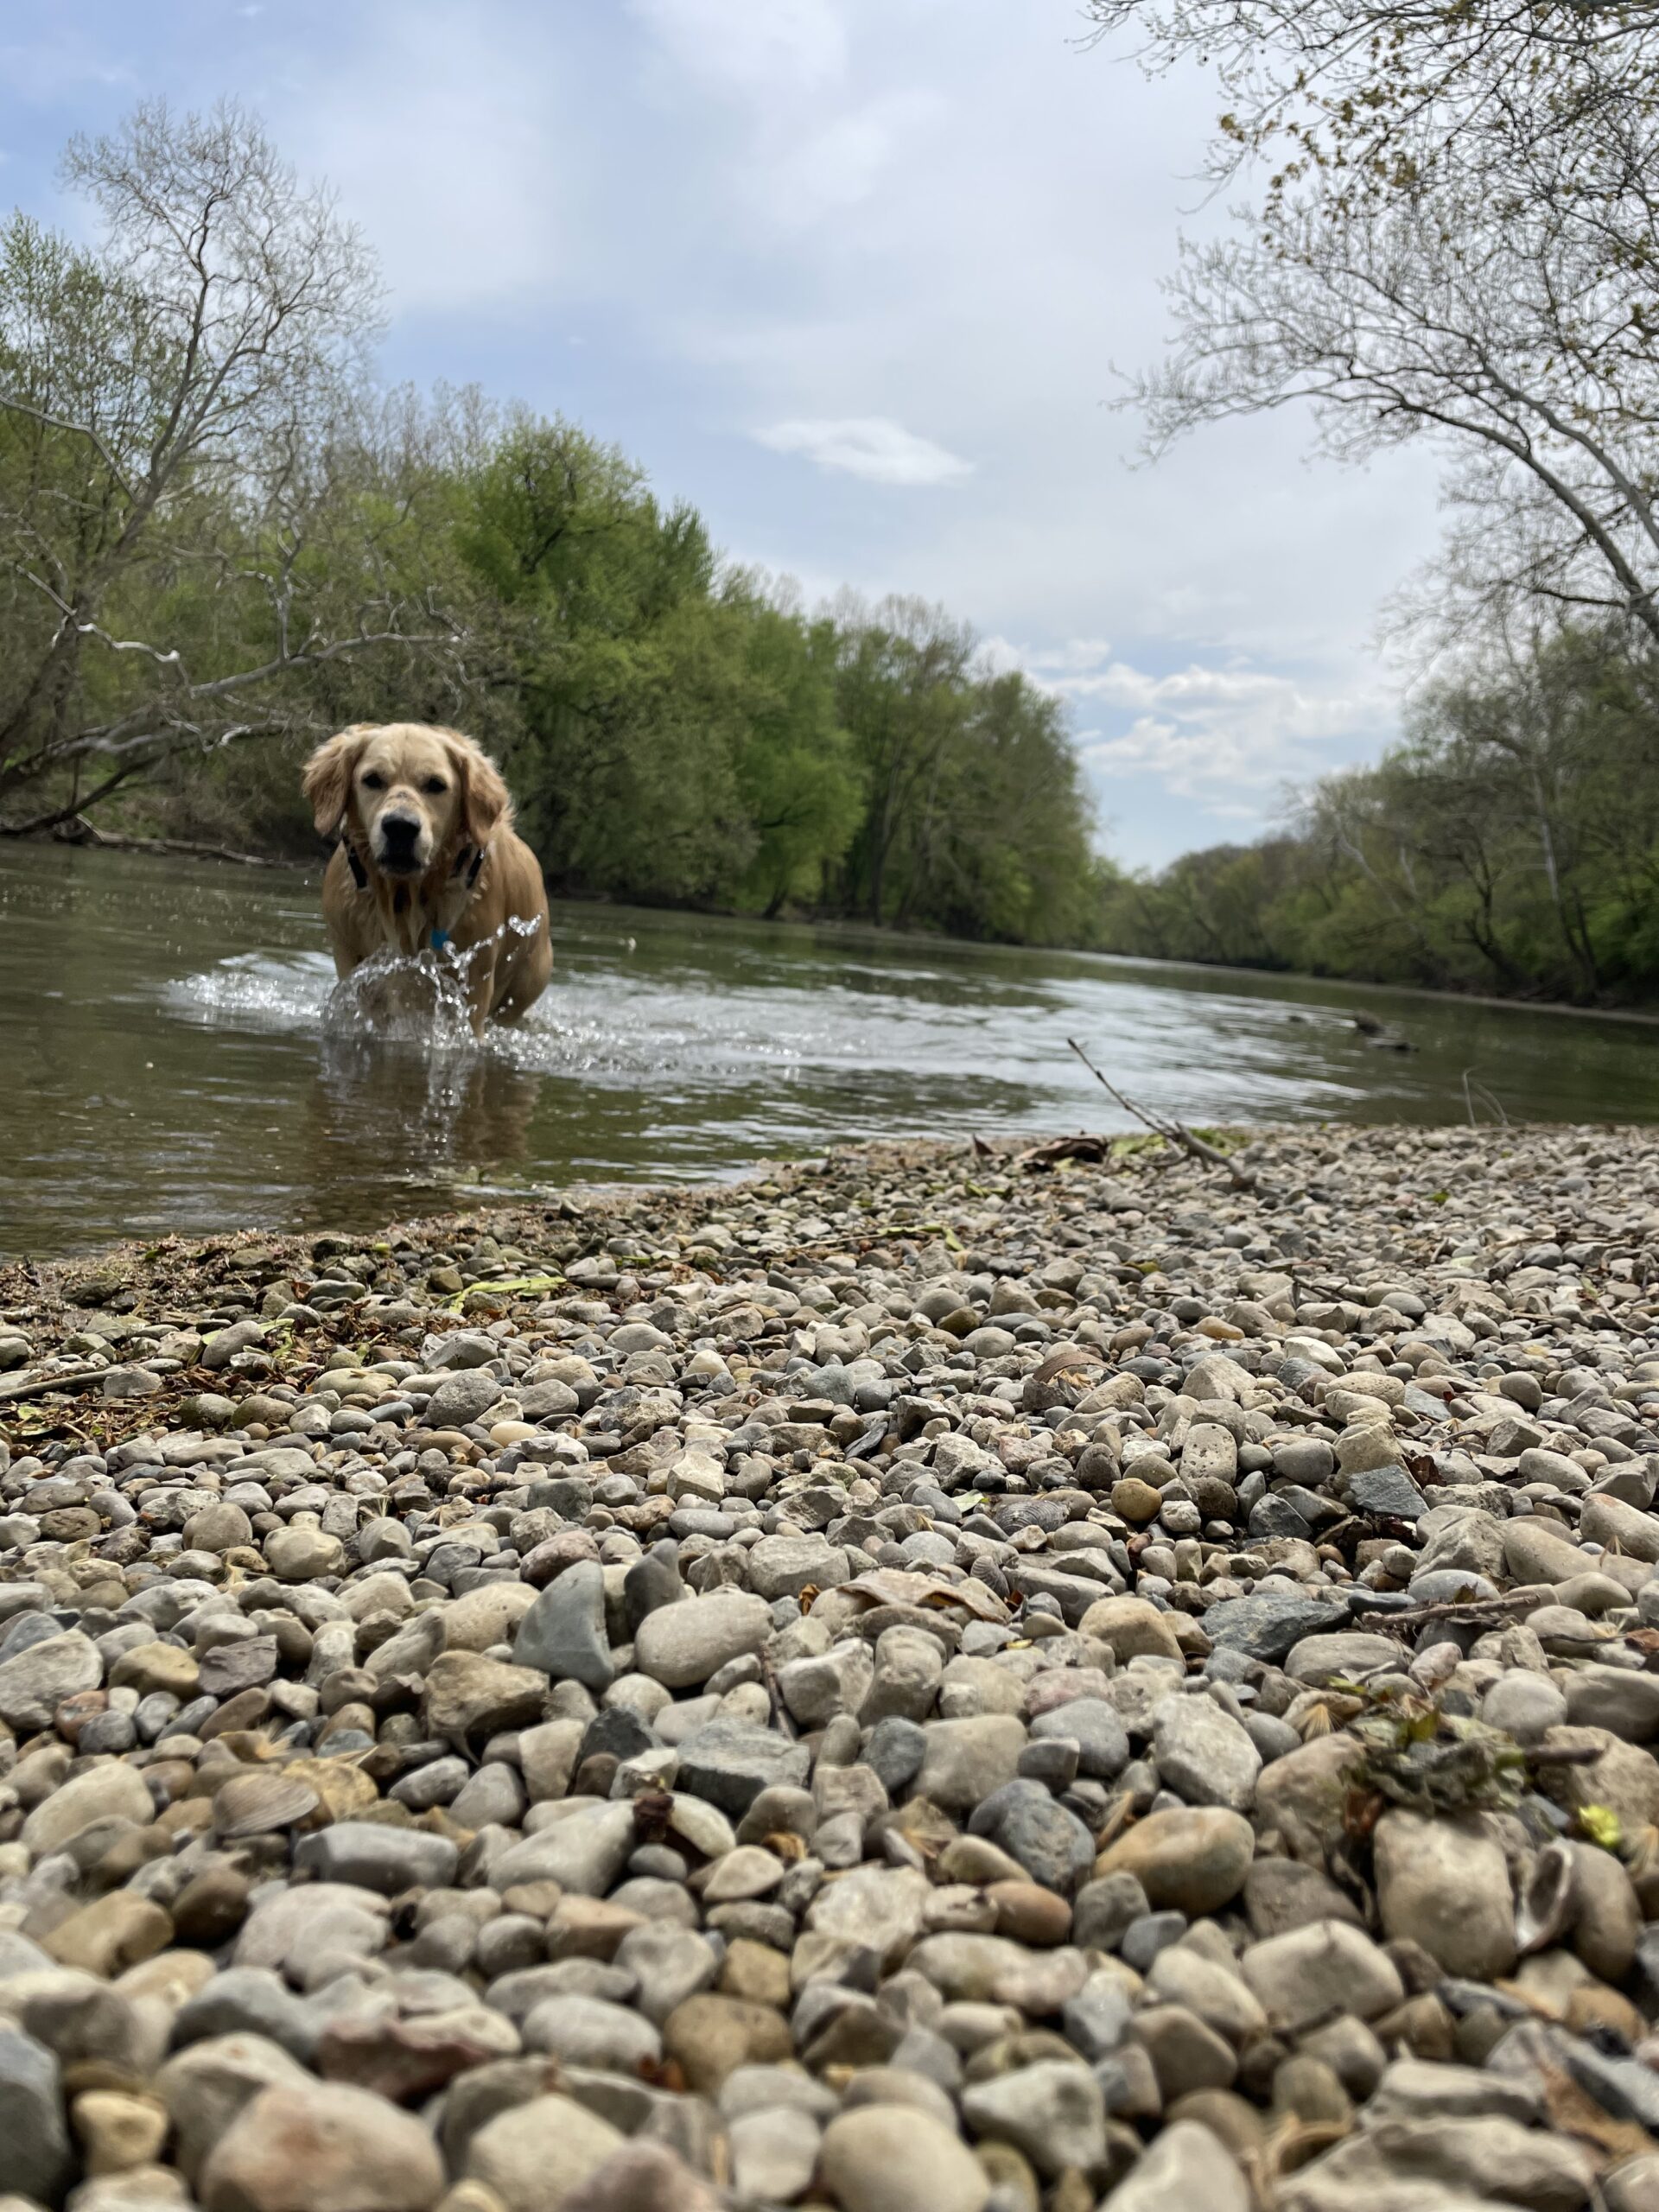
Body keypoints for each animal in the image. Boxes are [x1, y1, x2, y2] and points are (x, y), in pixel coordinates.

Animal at [302, 725, 553, 1035]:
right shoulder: (350, 958)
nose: (400, 826)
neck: (405, 896)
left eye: (436, 785)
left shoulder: (474, 977)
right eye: (372, 779)